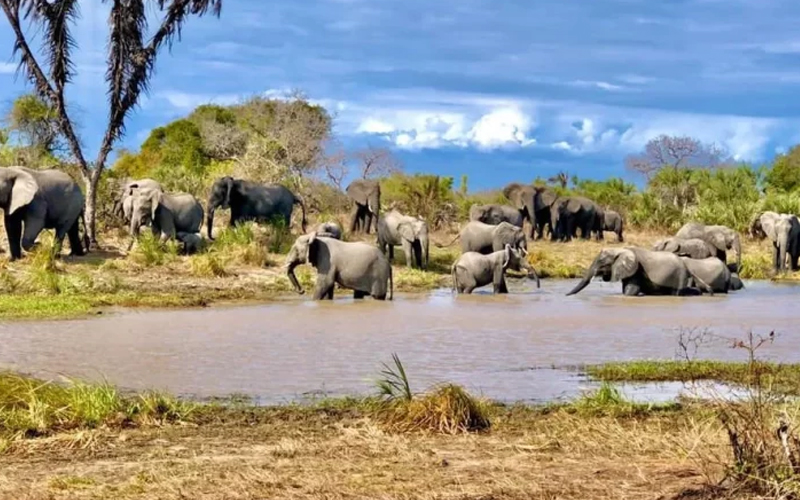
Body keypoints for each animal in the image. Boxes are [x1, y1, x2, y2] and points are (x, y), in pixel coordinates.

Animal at [564, 247, 716, 296]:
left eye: (602, 263)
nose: (565, 296)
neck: (620, 249)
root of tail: (686, 265)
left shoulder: (636, 269)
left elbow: (631, 291)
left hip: (679, 274)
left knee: (676, 292)